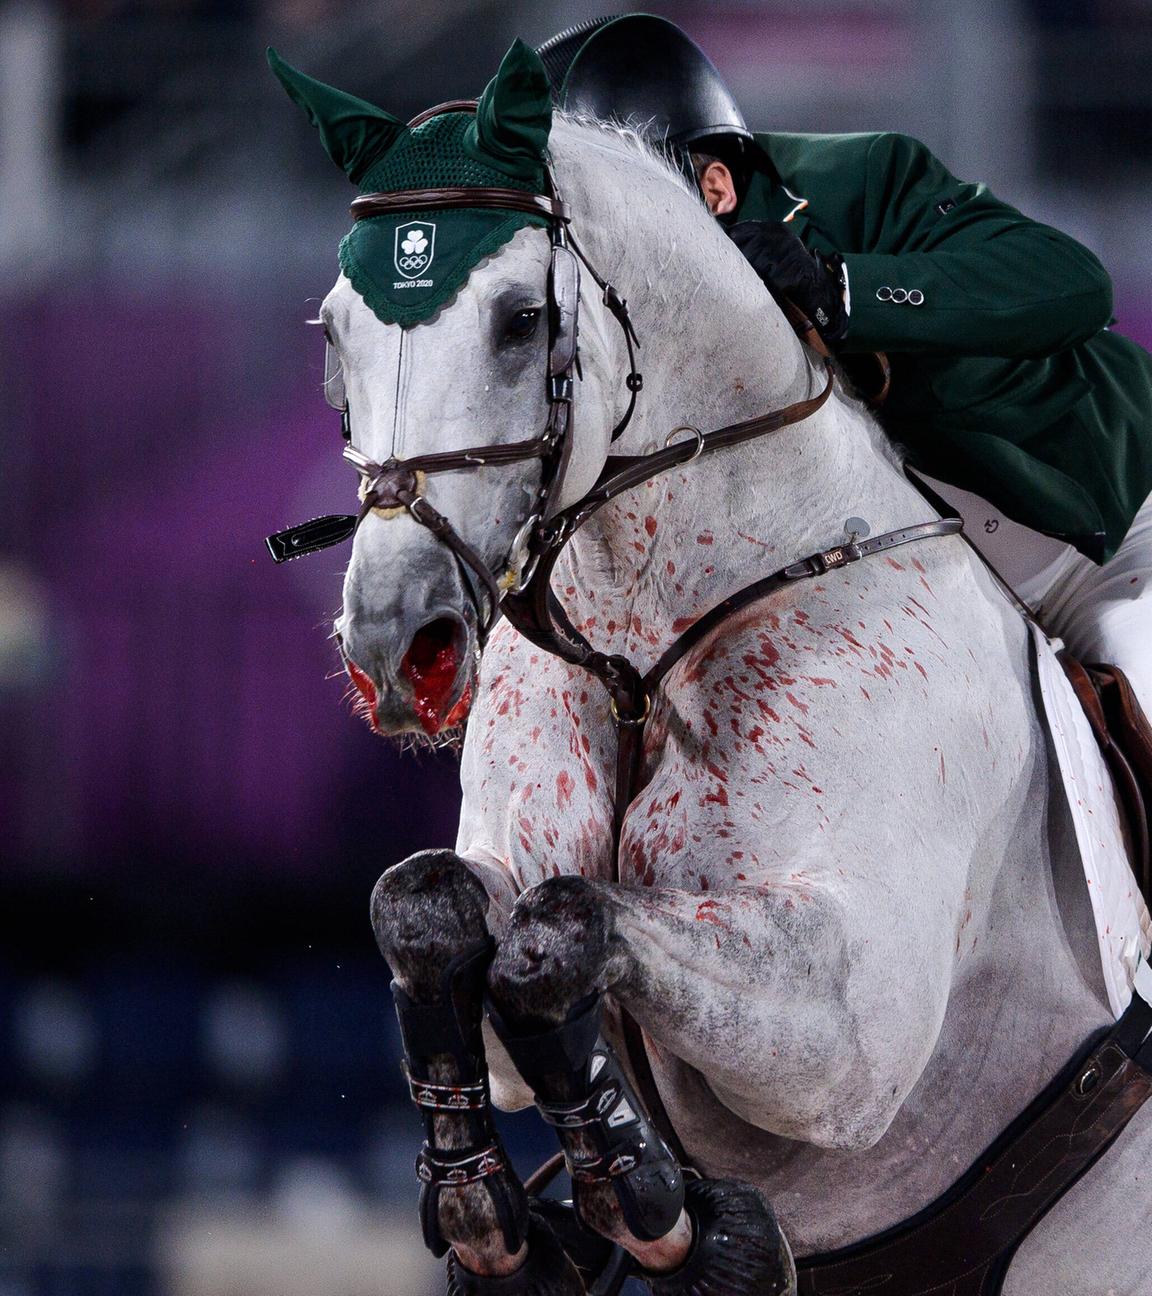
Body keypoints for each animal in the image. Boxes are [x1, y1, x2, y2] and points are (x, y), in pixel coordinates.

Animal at [271, 43, 1152, 1296]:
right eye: (334, 333)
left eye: (519, 320)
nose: (402, 649)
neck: (643, 644)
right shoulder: (502, 880)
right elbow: (431, 912)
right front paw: (491, 1207)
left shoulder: (852, 1026)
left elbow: (560, 933)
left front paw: (665, 1209)